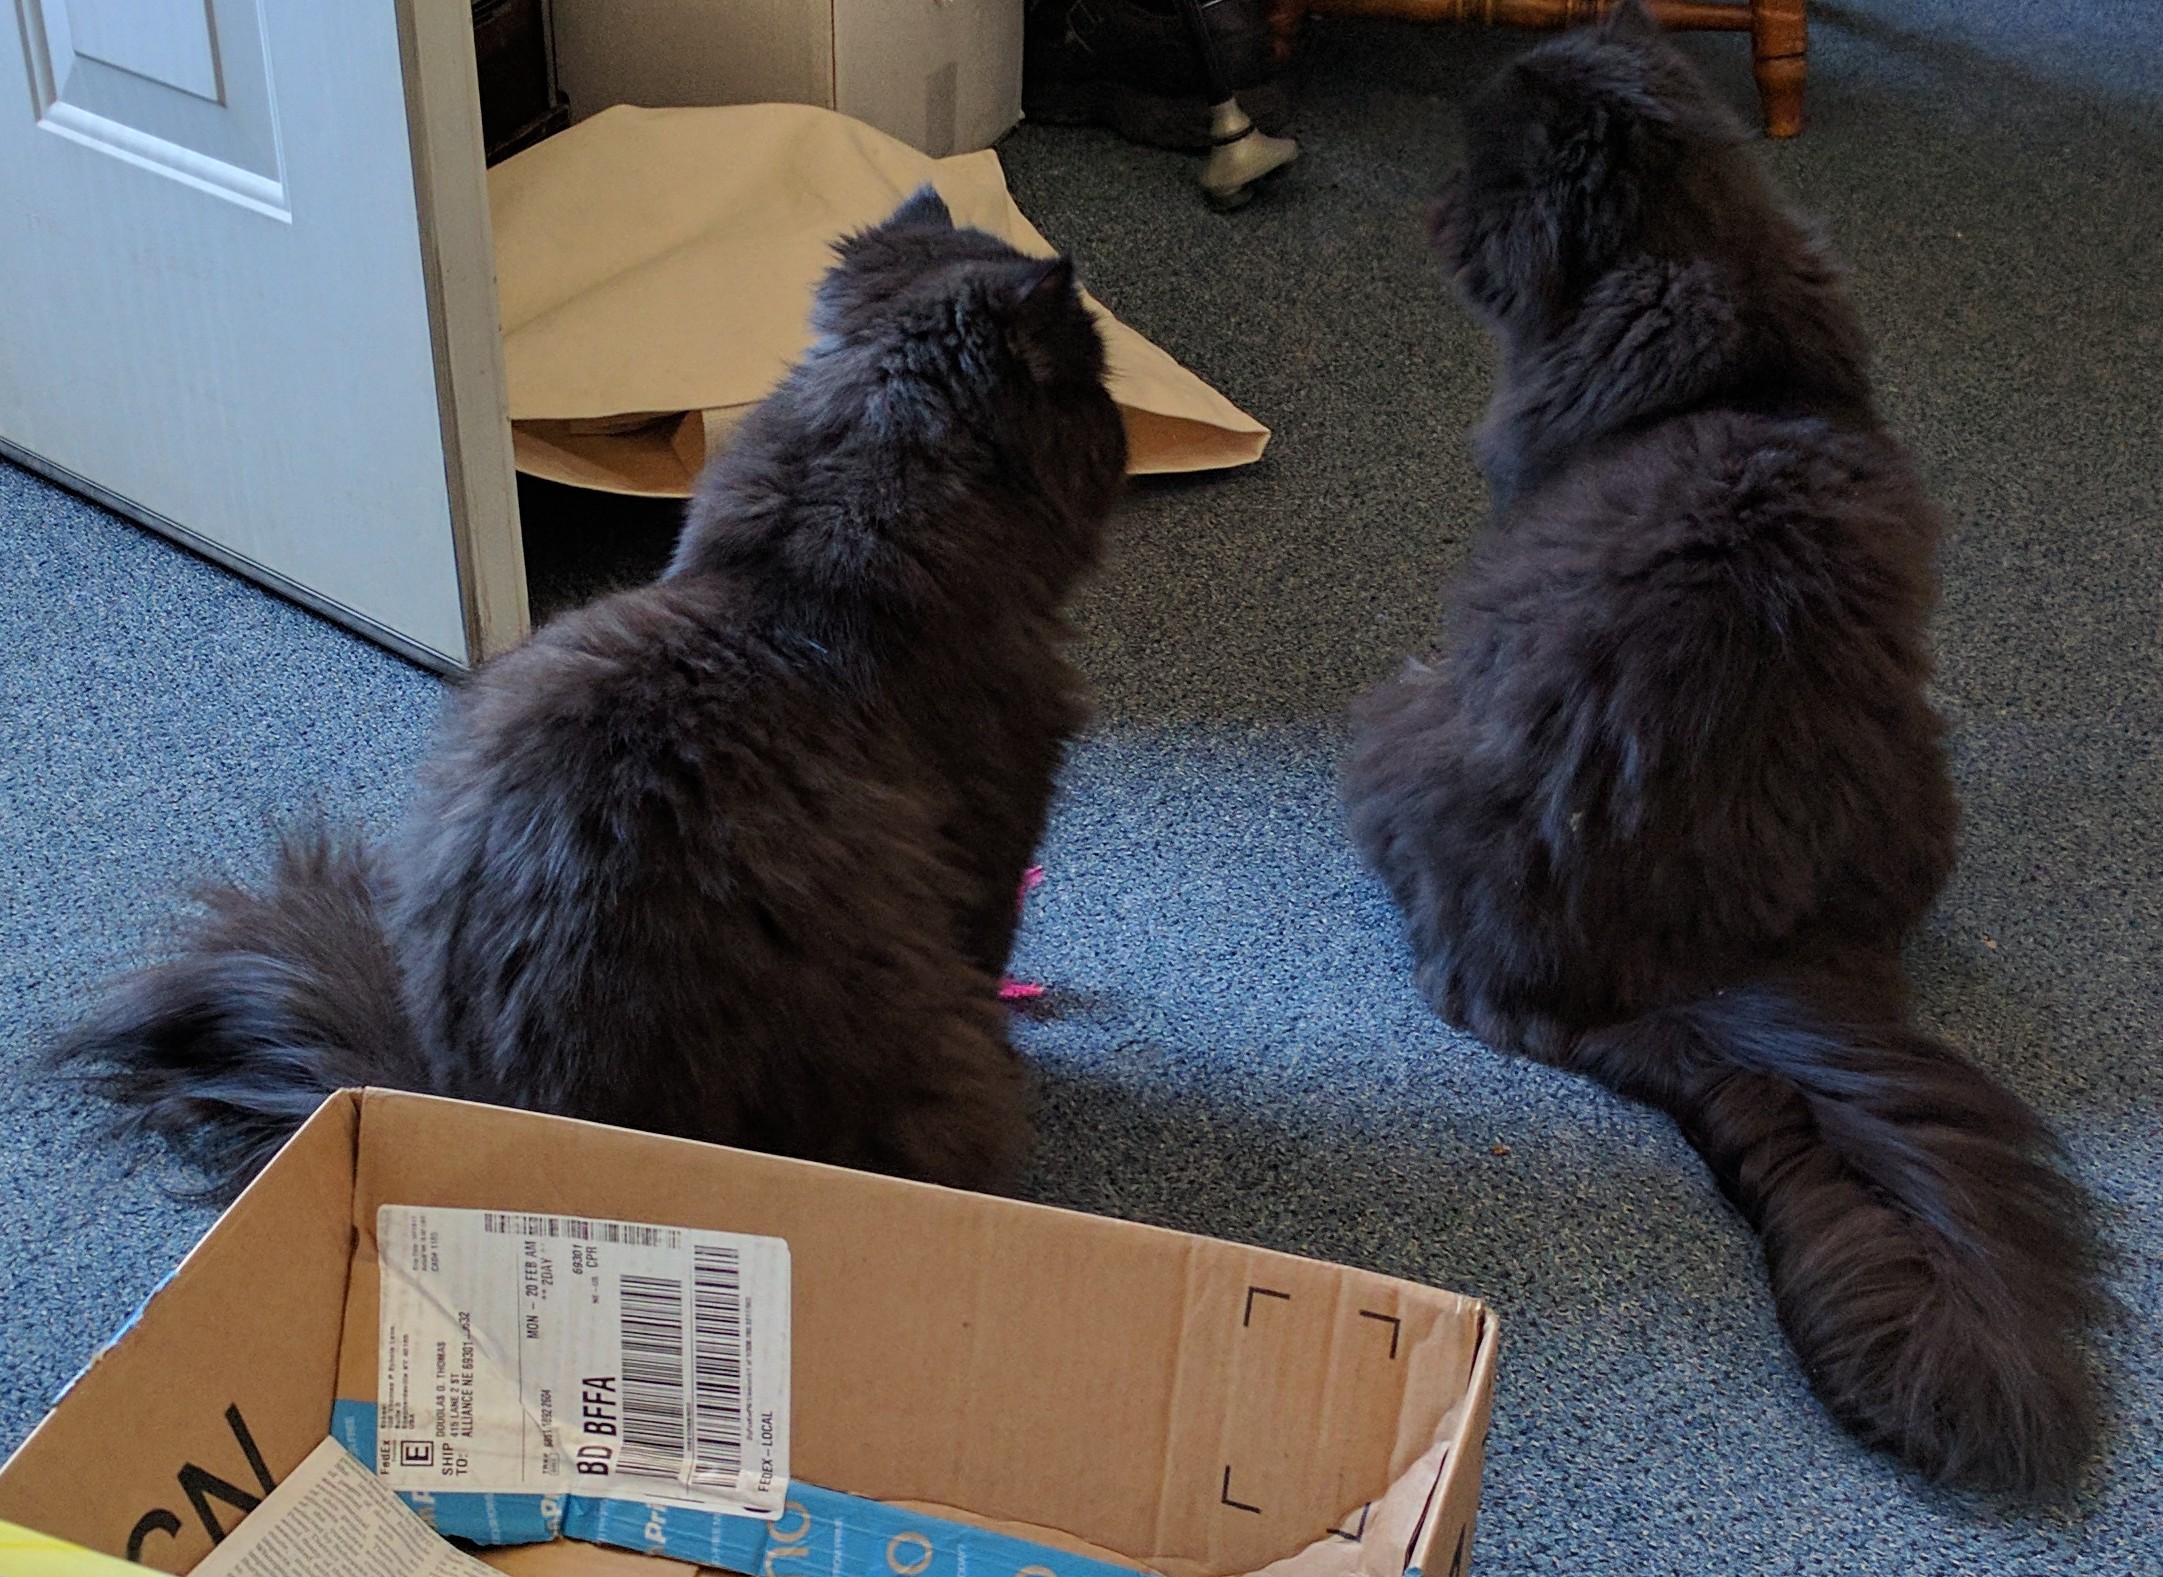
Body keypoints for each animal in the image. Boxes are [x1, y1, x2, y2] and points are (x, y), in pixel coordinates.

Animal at [1341, 1, 2104, 1496]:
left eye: (1484, 171)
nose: (1432, 209)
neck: (1694, 265)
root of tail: (1699, 970)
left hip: (1404, 722)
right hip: (1924, 771)